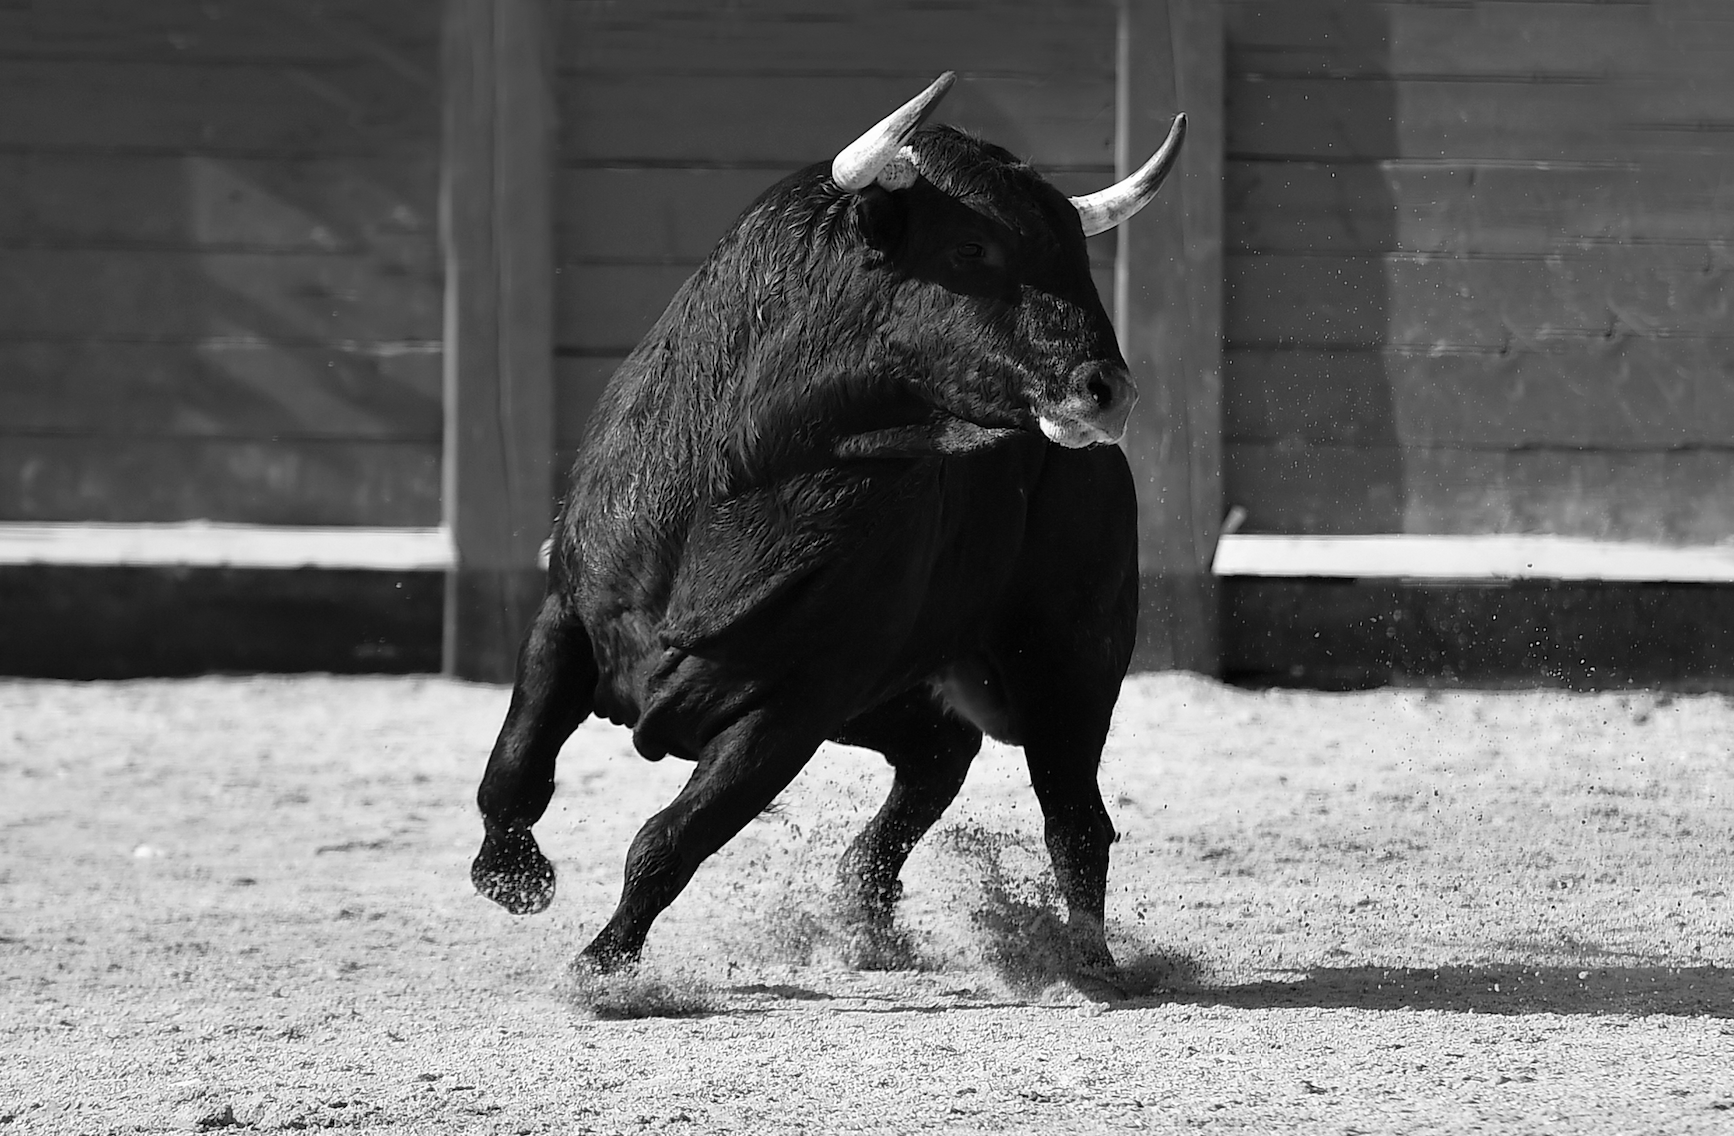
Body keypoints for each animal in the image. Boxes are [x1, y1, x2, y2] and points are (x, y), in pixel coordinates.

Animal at [471, 72, 1186, 990]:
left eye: (1078, 255)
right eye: (972, 249)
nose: (1109, 390)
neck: (742, 475)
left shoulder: (793, 705)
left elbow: (669, 840)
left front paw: (600, 969)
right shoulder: (568, 612)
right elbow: (514, 767)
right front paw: (513, 878)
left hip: (1067, 664)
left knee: (1073, 813)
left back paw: (1087, 960)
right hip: (894, 692)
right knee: (940, 753)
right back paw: (868, 911)